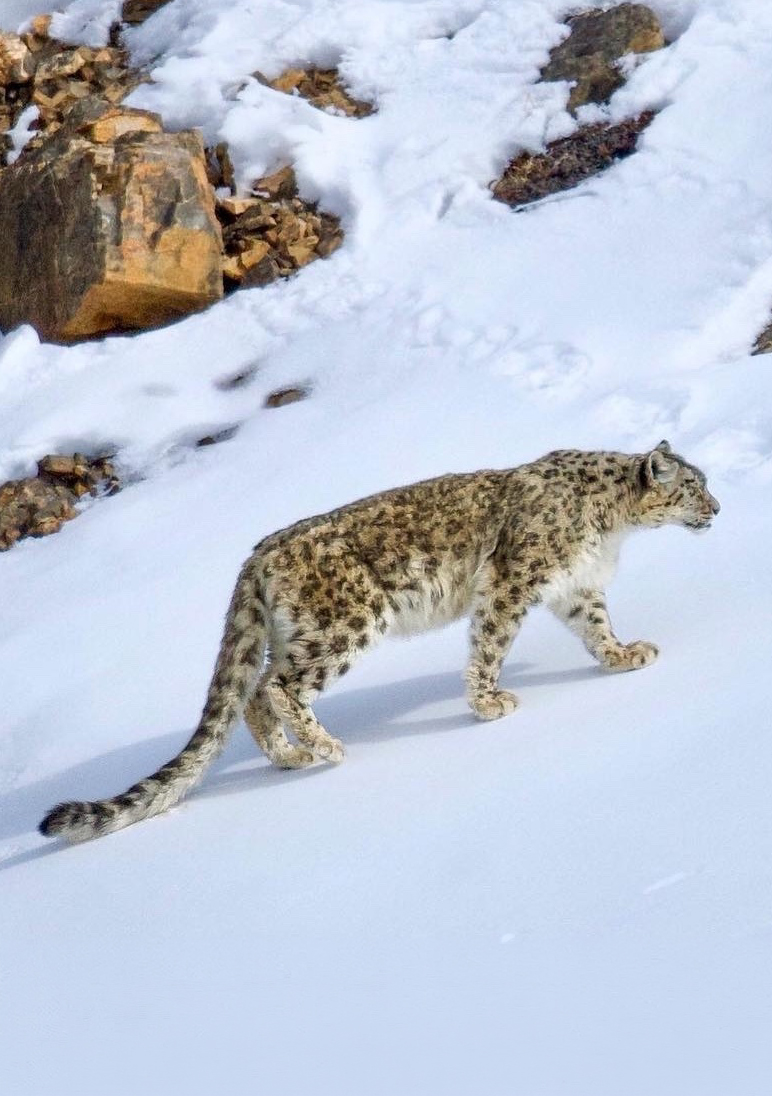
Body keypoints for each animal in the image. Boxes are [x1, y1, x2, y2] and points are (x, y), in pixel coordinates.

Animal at [40, 440, 719, 842]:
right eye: (694, 486)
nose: (717, 506)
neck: (613, 525)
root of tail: (257, 555)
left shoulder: (577, 589)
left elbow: (597, 628)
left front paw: (625, 656)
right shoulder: (511, 581)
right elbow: (490, 643)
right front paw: (489, 703)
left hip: (295, 634)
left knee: (253, 691)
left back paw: (289, 758)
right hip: (347, 624)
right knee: (280, 686)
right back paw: (325, 748)